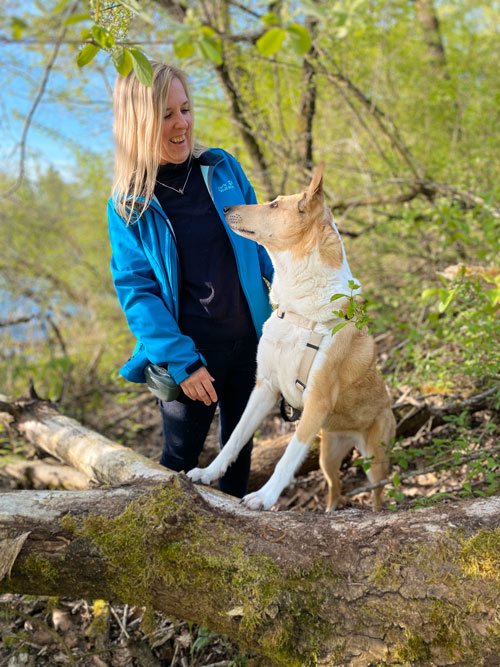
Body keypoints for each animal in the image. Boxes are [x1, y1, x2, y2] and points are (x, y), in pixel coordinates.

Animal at [187, 166, 394, 512]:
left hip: (375, 458)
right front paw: (208, 472)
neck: (298, 311)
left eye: (273, 205)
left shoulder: (316, 401)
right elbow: (235, 437)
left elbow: (287, 457)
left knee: (380, 490)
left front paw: (264, 496)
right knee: (334, 488)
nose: (225, 208)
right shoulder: (264, 387)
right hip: (327, 456)